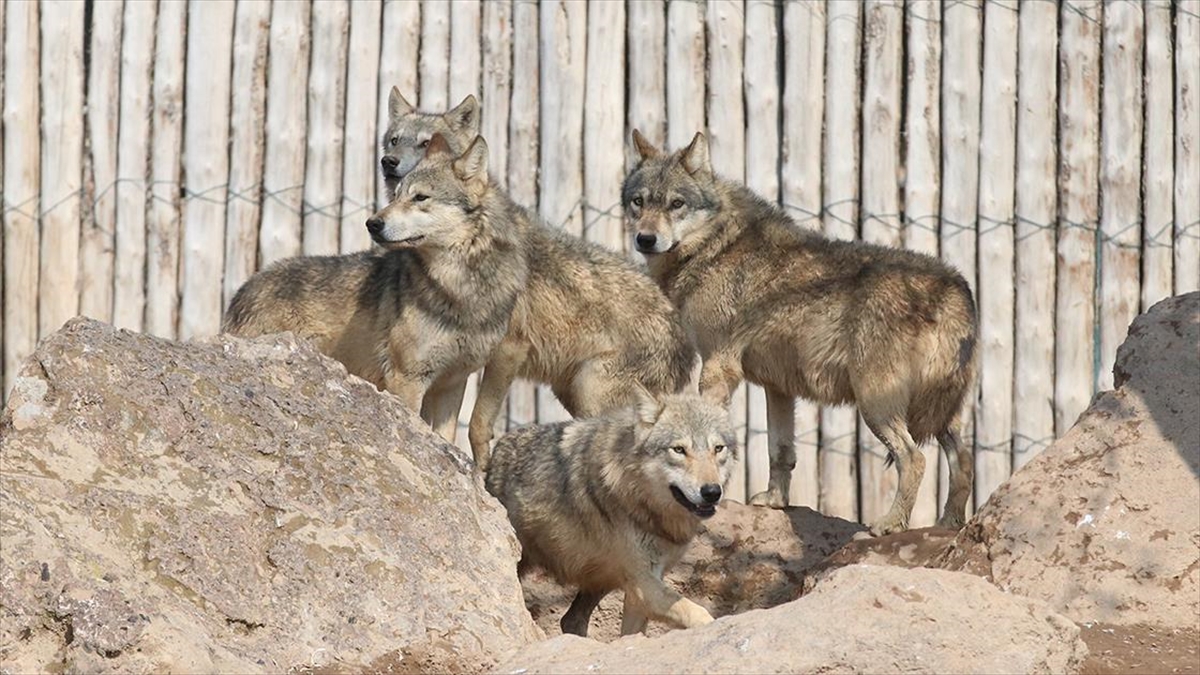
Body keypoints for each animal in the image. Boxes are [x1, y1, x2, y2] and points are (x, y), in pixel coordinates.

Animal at [225, 133, 525, 439]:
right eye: (397, 195)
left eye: (420, 197)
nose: (372, 224)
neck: (461, 291)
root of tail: (244, 289)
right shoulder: (406, 379)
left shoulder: (452, 383)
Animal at [379, 88, 700, 468]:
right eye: (394, 139)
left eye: (425, 143)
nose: (389, 162)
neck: (474, 247)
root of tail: (683, 335)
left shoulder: (508, 352)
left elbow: (477, 426)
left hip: (593, 394)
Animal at [482, 389, 734, 634]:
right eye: (679, 450)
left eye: (718, 449)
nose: (712, 492)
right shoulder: (643, 586)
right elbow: (697, 612)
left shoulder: (642, 586)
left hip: (602, 580)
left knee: (570, 620)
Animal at [624, 128, 979, 533]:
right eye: (638, 202)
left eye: (676, 204)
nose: (645, 239)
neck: (715, 246)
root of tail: (955, 287)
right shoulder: (778, 387)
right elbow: (780, 451)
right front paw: (775, 502)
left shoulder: (718, 367)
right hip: (941, 414)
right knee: (964, 461)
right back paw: (949, 525)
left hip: (877, 404)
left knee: (914, 458)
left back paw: (889, 524)